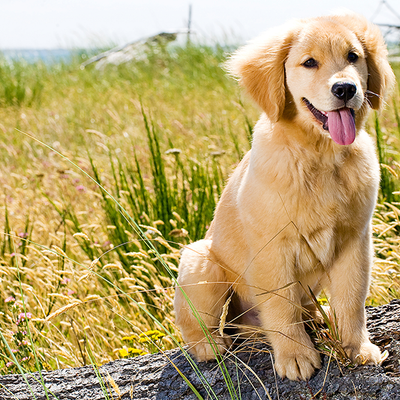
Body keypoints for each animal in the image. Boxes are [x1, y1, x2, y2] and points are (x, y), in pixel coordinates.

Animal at [173, 13, 396, 382]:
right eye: (309, 63)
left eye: (353, 57)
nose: (345, 89)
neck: (320, 156)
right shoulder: (273, 248)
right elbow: (280, 304)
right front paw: (295, 355)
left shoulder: (355, 241)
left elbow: (351, 301)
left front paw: (357, 348)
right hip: (201, 260)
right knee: (198, 322)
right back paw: (209, 346)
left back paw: (315, 318)